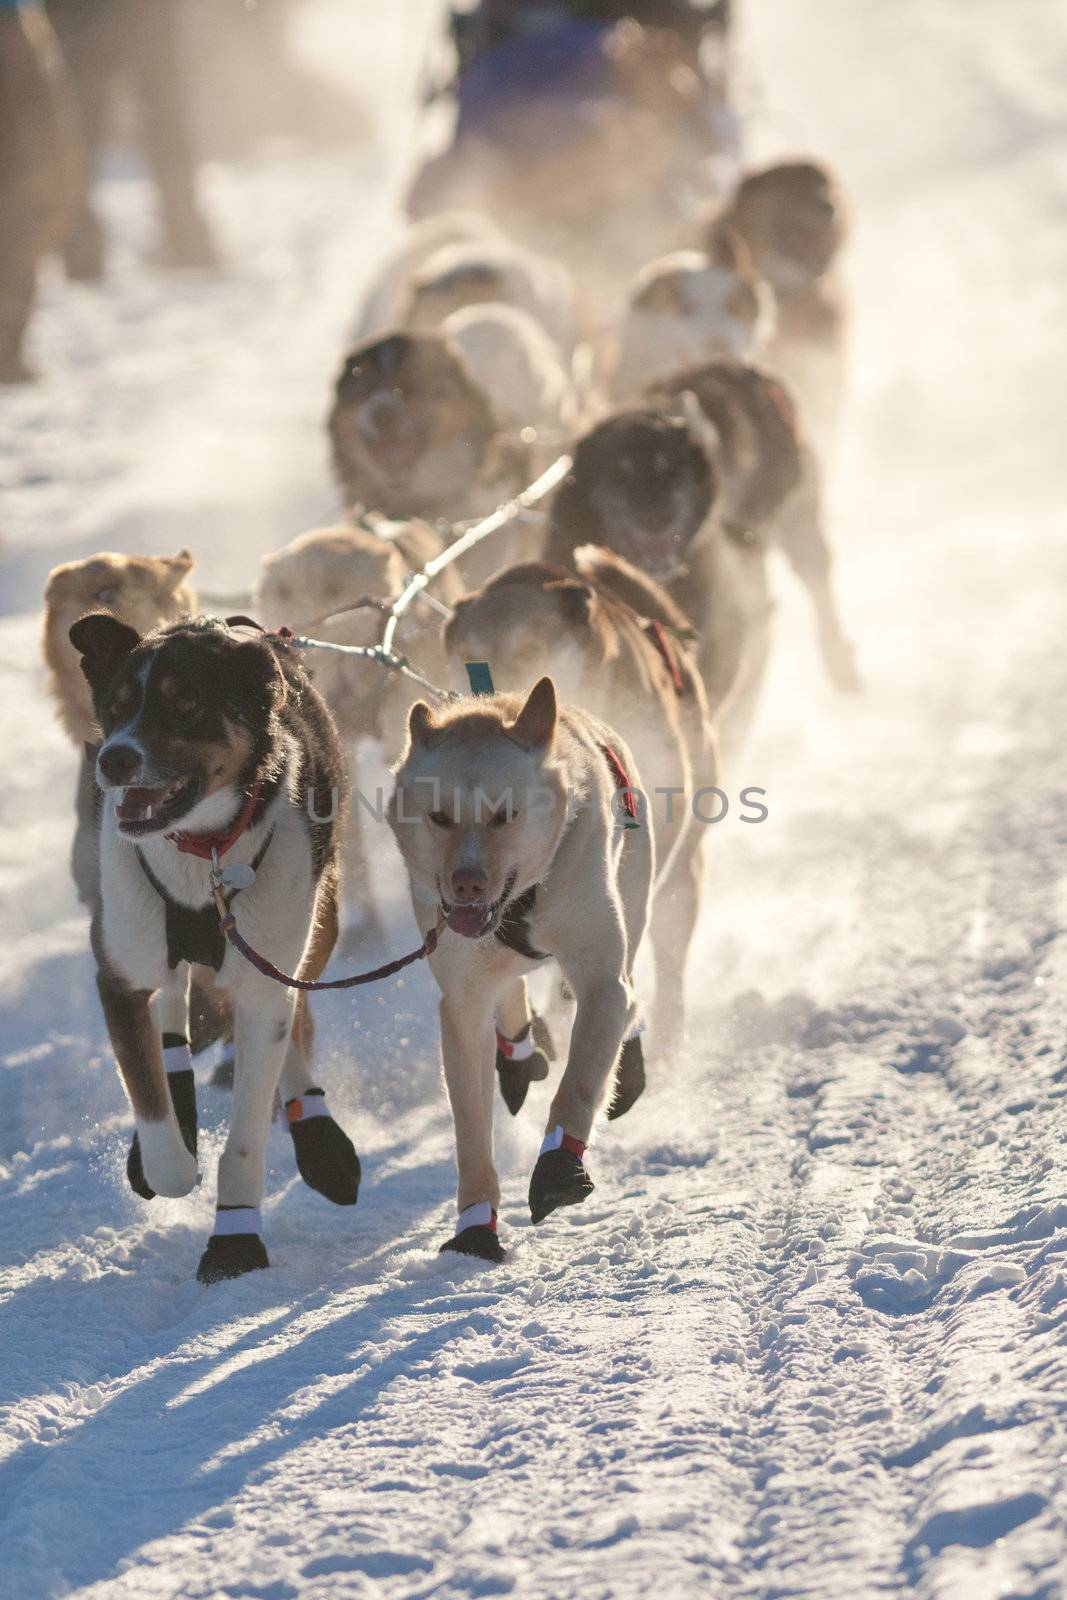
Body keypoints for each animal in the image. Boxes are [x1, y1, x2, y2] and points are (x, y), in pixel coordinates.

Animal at [71, 614, 363, 1286]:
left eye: (185, 707)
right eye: (115, 708)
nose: (115, 758)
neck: (199, 854)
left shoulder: (266, 980)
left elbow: (248, 1137)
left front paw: (234, 1239)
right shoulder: (120, 975)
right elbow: (157, 1123)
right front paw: (168, 1155)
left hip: (314, 927)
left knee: (291, 1025)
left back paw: (319, 1138)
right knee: (175, 1003)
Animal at [385, 675, 652, 1260]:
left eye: (504, 814)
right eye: (440, 816)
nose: (465, 883)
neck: (522, 903)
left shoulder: (600, 980)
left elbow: (580, 1080)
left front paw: (557, 1166)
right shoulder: (461, 1007)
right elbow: (470, 1133)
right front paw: (474, 1226)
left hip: (633, 907)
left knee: (631, 991)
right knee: (509, 998)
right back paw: (518, 1052)